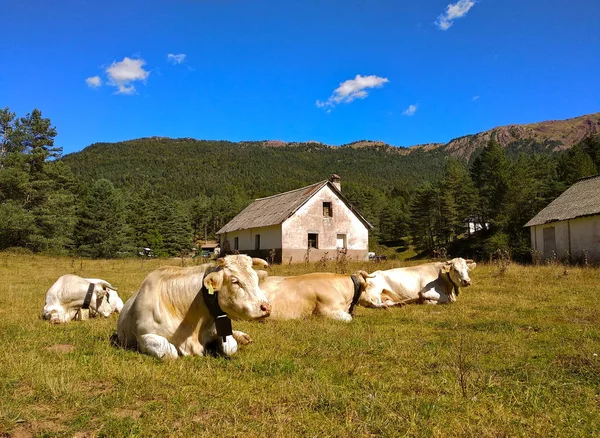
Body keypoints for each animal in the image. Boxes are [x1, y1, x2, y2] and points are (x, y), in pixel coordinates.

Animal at [116, 255, 270, 362]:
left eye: (256, 279)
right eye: (235, 281)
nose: (267, 307)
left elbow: (230, 346)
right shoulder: (144, 336)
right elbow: (171, 353)